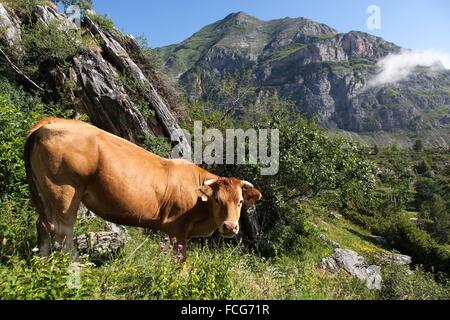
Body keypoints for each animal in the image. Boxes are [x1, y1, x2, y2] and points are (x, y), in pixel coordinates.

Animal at [24, 117, 262, 260]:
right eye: (217, 200)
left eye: (240, 201)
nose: (230, 227)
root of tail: (49, 122)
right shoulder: (178, 229)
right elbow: (181, 263)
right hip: (65, 191)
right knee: (62, 232)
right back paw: (77, 267)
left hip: (46, 192)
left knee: (43, 226)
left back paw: (42, 264)